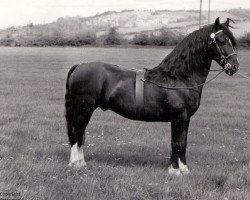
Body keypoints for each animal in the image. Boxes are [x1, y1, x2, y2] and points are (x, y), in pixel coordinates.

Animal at [65, 18, 240, 175]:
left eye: (231, 41)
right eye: (221, 40)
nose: (234, 66)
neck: (178, 78)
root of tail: (79, 66)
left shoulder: (186, 118)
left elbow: (182, 143)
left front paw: (182, 168)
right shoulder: (178, 117)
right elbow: (177, 143)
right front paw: (175, 171)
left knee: (79, 135)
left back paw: (81, 163)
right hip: (82, 109)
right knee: (76, 133)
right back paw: (75, 164)